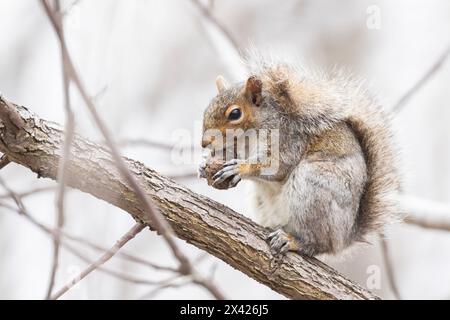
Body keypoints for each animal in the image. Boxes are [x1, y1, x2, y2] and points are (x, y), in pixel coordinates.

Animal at [199, 58, 402, 258]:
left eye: (235, 114)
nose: (204, 142)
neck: (248, 138)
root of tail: (345, 237)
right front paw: (204, 165)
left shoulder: (287, 140)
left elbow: (277, 164)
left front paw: (240, 168)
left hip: (313, 190)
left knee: (317, 244)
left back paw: (293, 241)